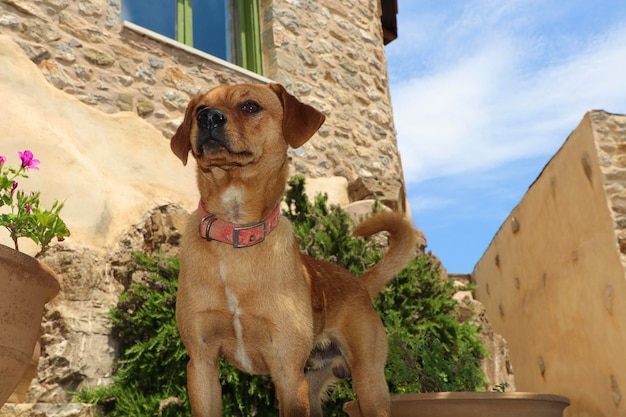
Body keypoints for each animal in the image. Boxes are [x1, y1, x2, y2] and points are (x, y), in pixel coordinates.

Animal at [168, 83, 416, 414]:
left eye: (250, 106)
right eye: (198, 108)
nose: (207, 117)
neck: (235, 237)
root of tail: (358, 283)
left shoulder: (287, 371)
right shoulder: (201, 363)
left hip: (368, 385)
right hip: (312, 386)